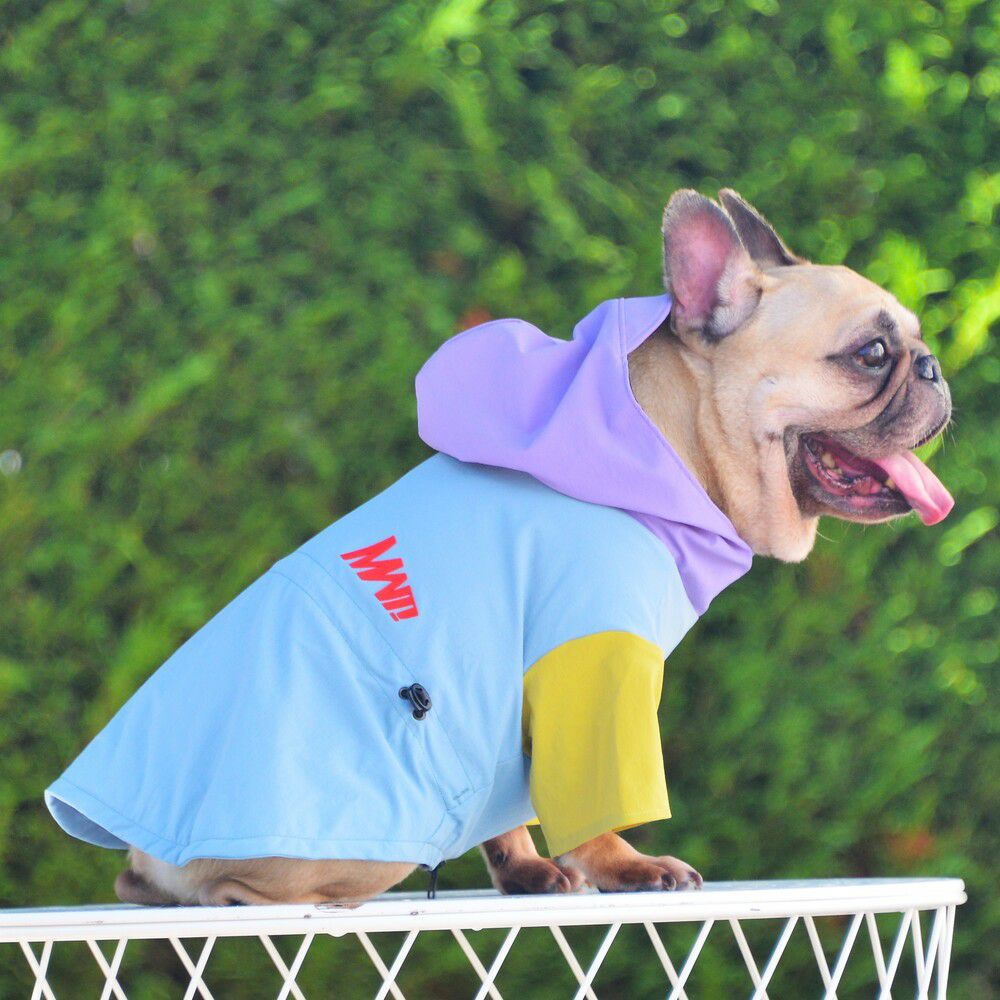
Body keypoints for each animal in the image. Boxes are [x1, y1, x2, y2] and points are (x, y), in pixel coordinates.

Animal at [46, 189, 952, 906]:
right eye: (872, 353)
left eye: (913, 342)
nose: (935, 367)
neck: (665, 441)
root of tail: (146, 848)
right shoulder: (595, 664)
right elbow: (597, 791)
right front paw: (625, 866)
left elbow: (518, 804)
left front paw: (530, 873)